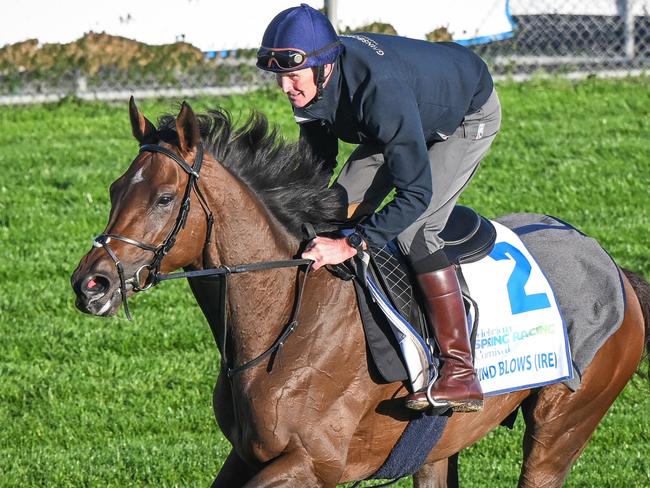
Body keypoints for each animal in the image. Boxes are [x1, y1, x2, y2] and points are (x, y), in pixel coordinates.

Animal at [72, 97, 648, 486]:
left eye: (165, 198)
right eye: (115, 189)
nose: (91, 283)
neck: (287, 322)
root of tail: (614, 268)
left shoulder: (313, 464)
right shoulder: (248, 456)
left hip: (562, 424)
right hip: (440, 449)